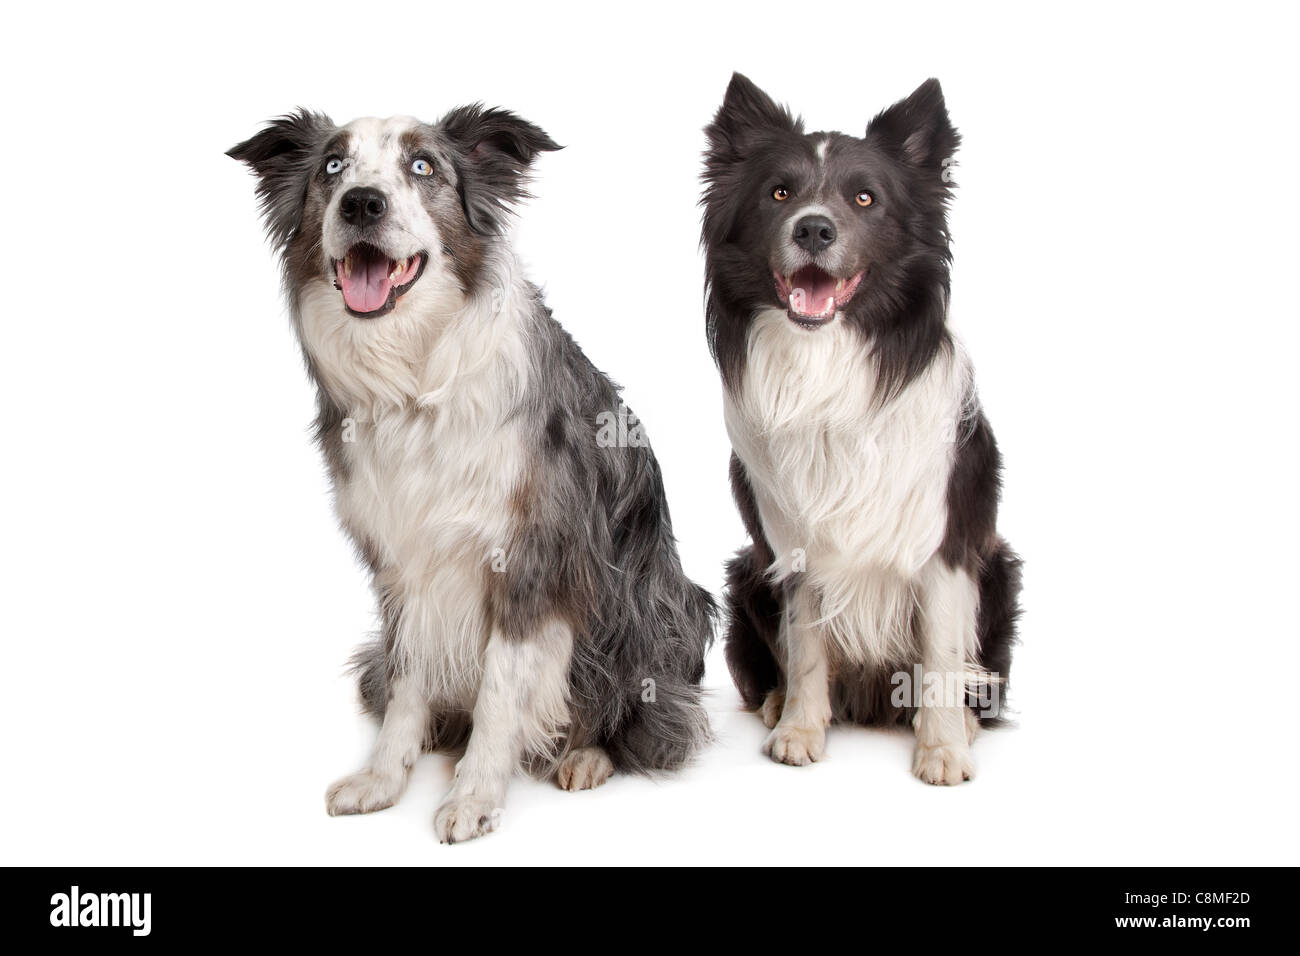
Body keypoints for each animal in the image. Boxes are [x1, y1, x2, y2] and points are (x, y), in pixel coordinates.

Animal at [223, 102, 712, 842]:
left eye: (423, 167)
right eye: (333, 166)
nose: (361, 202)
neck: (414, 376)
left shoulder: (531, 558)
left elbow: (502, 691)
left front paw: (474, 795)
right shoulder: (400, 565)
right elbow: (406, 679)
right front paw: (384, 774)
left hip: (647, 604)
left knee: (643, 710)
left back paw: (586, 754)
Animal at [707, 70, 1019, 780]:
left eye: (865, 198)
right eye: (779, 192)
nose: (814, 231)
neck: (828, 361)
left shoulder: (944, 542)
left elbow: (940, 655)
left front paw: (942, 748)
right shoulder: (790, 541)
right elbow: (806, 644)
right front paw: (800, 729)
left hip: (1000, 568)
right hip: (746, 572)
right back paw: (777, 703)